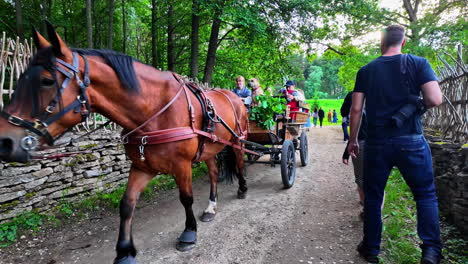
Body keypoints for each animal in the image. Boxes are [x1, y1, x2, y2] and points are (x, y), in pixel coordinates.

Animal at [0, 23, 249, 264]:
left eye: (47, 80)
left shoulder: (182, 165)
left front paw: (188, 233)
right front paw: (124, 251)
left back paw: (243, 188)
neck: (155, 110)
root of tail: (233, 96)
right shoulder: (141, 166)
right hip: (210, 149)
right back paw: (210, 207)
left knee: (239, 163)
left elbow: (186, 198)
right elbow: (127, 204)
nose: (5, 141)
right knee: (214, 173)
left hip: (238, 140)